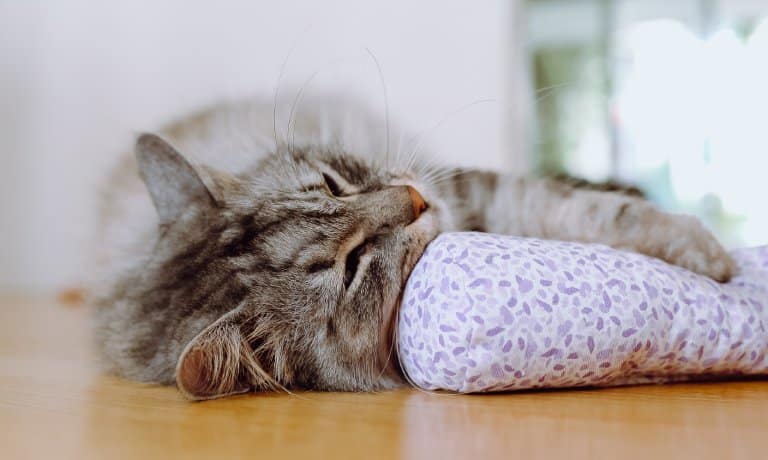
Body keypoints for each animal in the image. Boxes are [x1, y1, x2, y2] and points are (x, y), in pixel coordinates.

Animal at [93, 92, 736, 398]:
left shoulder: (466, 185)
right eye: (351, 268)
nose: (415, 198)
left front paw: (704, 250)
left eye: (333, 183)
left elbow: (587, 209)